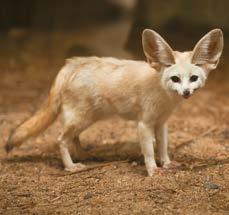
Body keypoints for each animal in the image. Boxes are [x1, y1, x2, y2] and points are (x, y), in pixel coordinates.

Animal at [5, 29, 224, 176]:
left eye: (193, 78)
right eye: (175, 79)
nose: (186, 92)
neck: (165, 97)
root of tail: (70, 65)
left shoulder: (161, 122)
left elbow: (162, 147)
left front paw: (167, 163)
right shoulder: (144, 123)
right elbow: (149, 151)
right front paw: (153, 170)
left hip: (85, 119)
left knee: (73, 138)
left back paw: (82, 155)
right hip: (81, 119)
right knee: (60, 139)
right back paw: (70, 166)